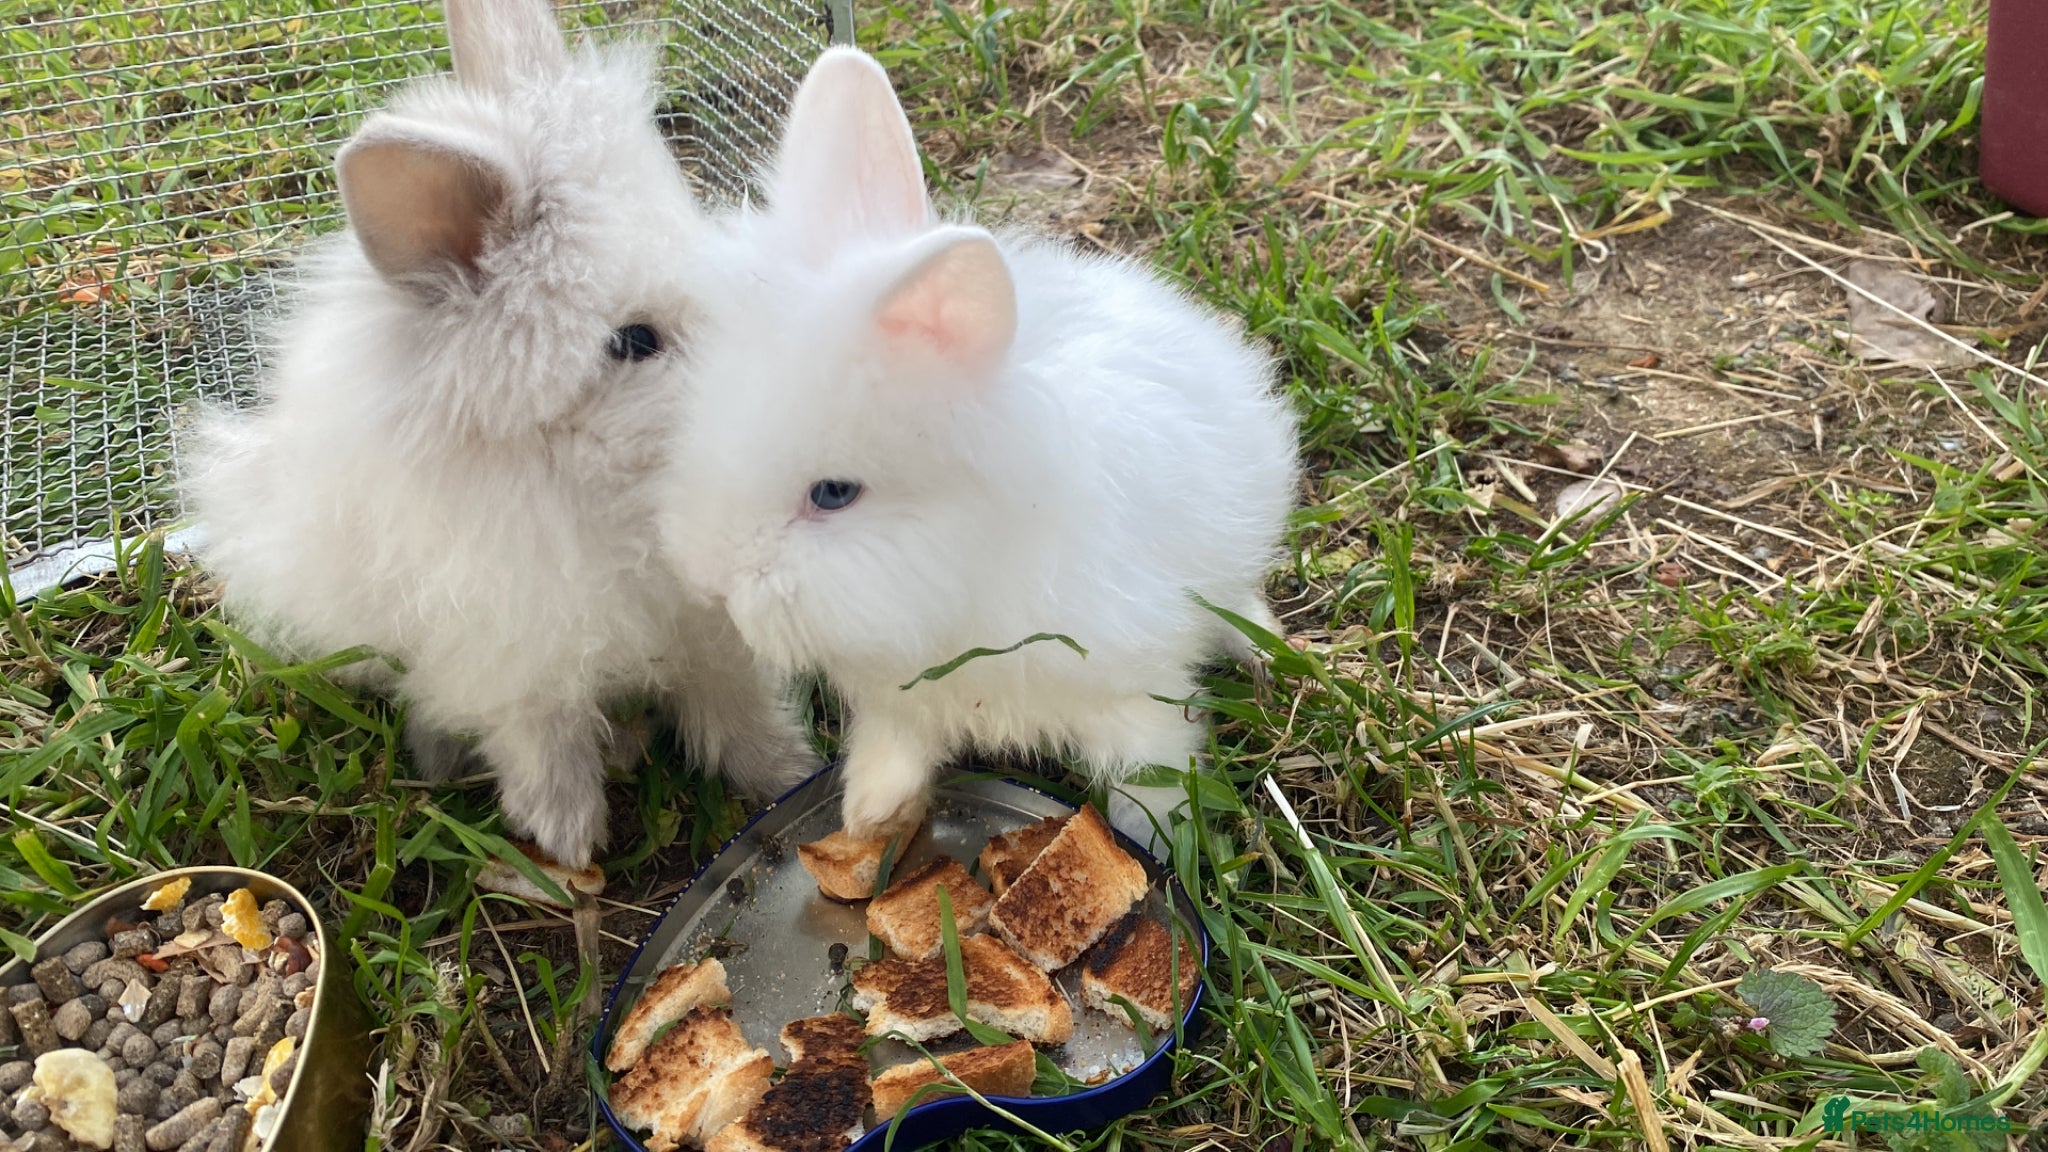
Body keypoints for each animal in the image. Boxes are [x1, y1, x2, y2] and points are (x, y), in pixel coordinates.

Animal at [181, 0, 818, 869]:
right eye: (634, 341)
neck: (608, 493)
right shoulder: (515, 654)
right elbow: (542, 742)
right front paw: (568, 839)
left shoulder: (709, 634)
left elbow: (735, 706)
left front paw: (788, 772)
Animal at [655, 48, 1299, 846]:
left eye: (834, 494)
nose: (707, 581)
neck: (966, 567)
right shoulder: (901, 698)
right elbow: (894, 747)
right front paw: (868, 817)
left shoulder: (1131, 686)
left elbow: (1148, 768)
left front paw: (1150, 841)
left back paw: (1267, 651)